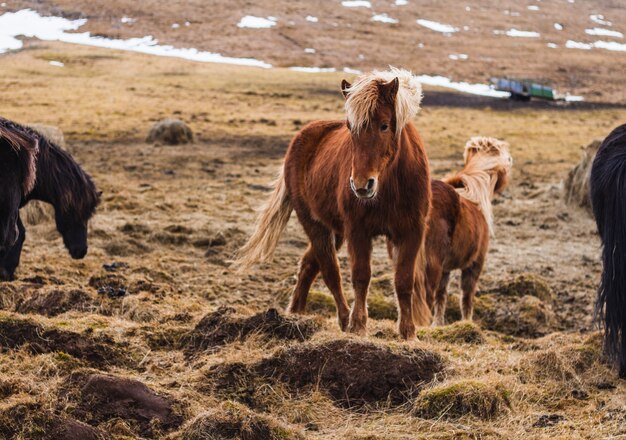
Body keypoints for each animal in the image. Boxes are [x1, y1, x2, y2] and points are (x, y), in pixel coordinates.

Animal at [236, 68, 432, 336]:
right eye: (350, 128)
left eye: (384, 125)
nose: (361, 185)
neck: (389, 187)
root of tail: (302, 136)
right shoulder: (358, 230)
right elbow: (360, 276)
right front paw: (358, 326)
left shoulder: (412, 231)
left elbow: (404, 281)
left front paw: (408, 332)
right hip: (315, 225)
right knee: (330, 271)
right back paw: (343, 318)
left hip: (335, 231)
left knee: (309, 264)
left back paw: (296, 312)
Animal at [388, 138, 510, 326]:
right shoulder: (474, 265)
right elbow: (466, 298)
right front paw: (467, 323)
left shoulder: (445, 270)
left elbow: (441, 296)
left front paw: (438, 324)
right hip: (432, 265)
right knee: (425, 297)